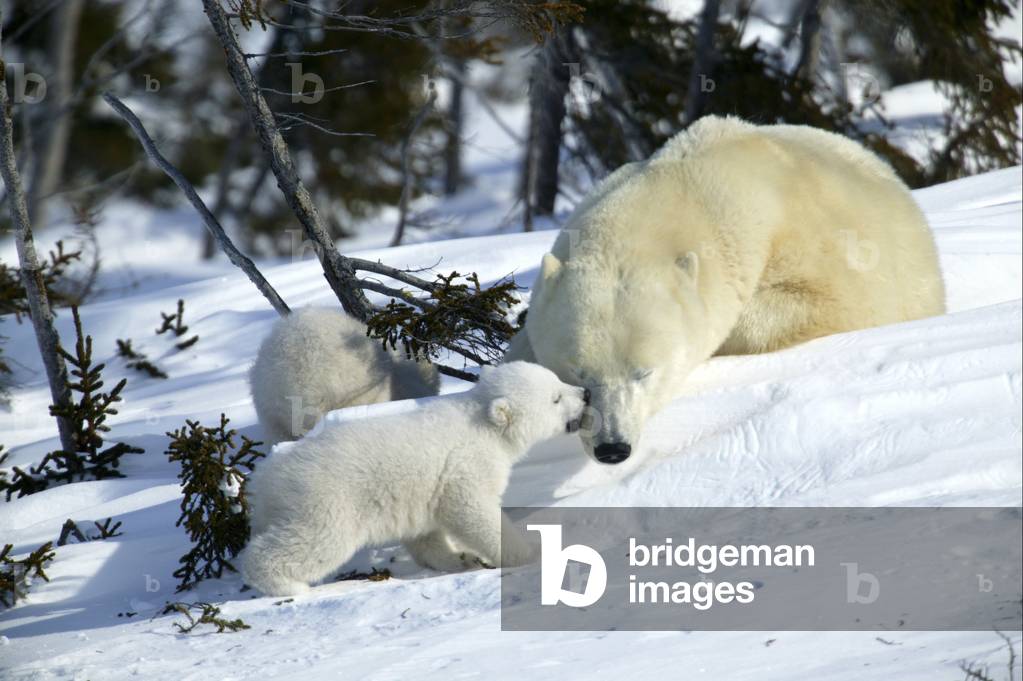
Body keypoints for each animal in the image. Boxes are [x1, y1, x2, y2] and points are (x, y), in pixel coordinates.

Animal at [240, 361, 590, 596]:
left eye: (557, 380)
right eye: (555, 398)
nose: (585, 393)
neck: (482, 422)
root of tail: (266, 478)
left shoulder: (422, 492)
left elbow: (427, 534)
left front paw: (462, 558)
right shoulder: (466, 465)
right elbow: (473, 511)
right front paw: (530, 553)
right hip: (325, 501)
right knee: (315, 542)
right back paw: (286, 585)